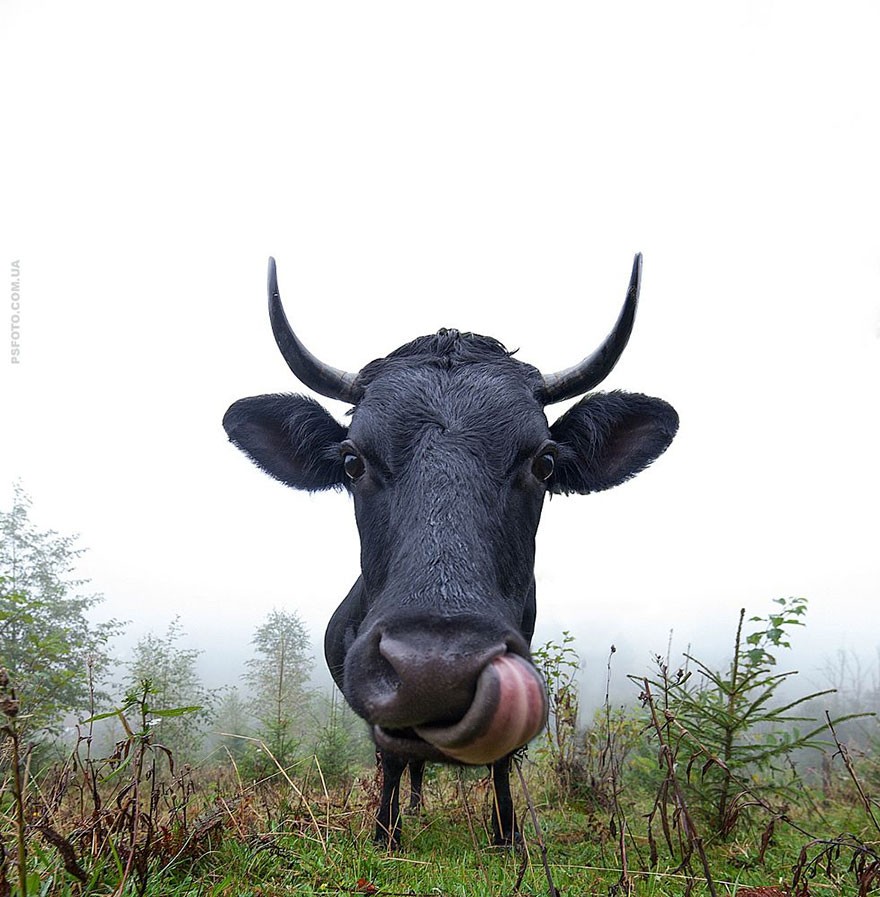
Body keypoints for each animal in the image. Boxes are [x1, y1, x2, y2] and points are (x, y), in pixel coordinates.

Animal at [223, 254, 676, 848]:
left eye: (545, 462)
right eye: (351, 461)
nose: (436, 669)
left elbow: (504, 758)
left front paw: (507, 834)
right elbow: (392, 755)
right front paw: (386, 833)